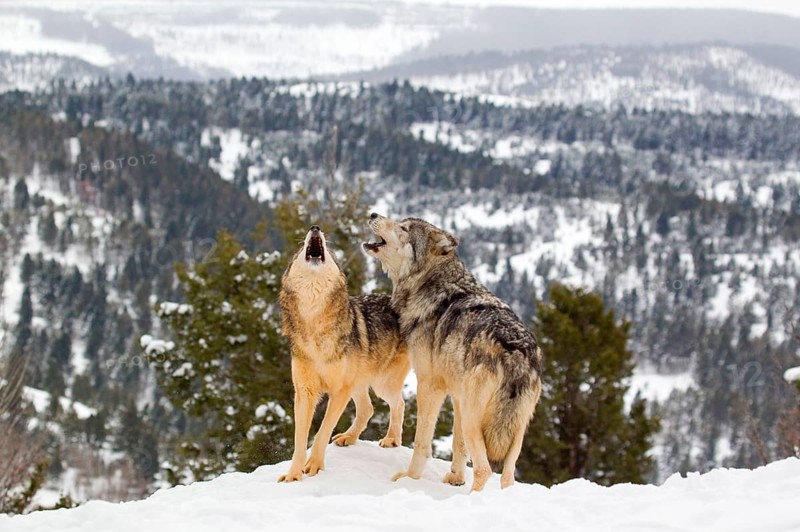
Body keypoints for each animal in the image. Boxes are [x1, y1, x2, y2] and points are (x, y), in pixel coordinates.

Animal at [278, 225, 410, 482]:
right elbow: (299, 440)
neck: (315, 326)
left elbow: (322, 431)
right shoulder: (305, 392)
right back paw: (349, 437)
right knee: (368, 409)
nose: (315, 227)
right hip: (358, 382)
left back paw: (391, 439)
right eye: (299, 251)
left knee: (398, 404)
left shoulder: (339, 391)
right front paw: (293, 475)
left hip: (382, 384)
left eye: (330, 251)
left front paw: (314, 466)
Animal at [363, 213, 543, 492]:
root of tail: (515, 352)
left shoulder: (429, 385)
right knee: (507, 476)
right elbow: (458, 445)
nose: (373, 214)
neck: (430, 285)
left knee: (484, 469)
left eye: (403, 228)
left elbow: (422, 442)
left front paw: (410, 477)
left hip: (474, 419)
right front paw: (456, 478)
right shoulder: (457, 395)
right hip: (514, 429)